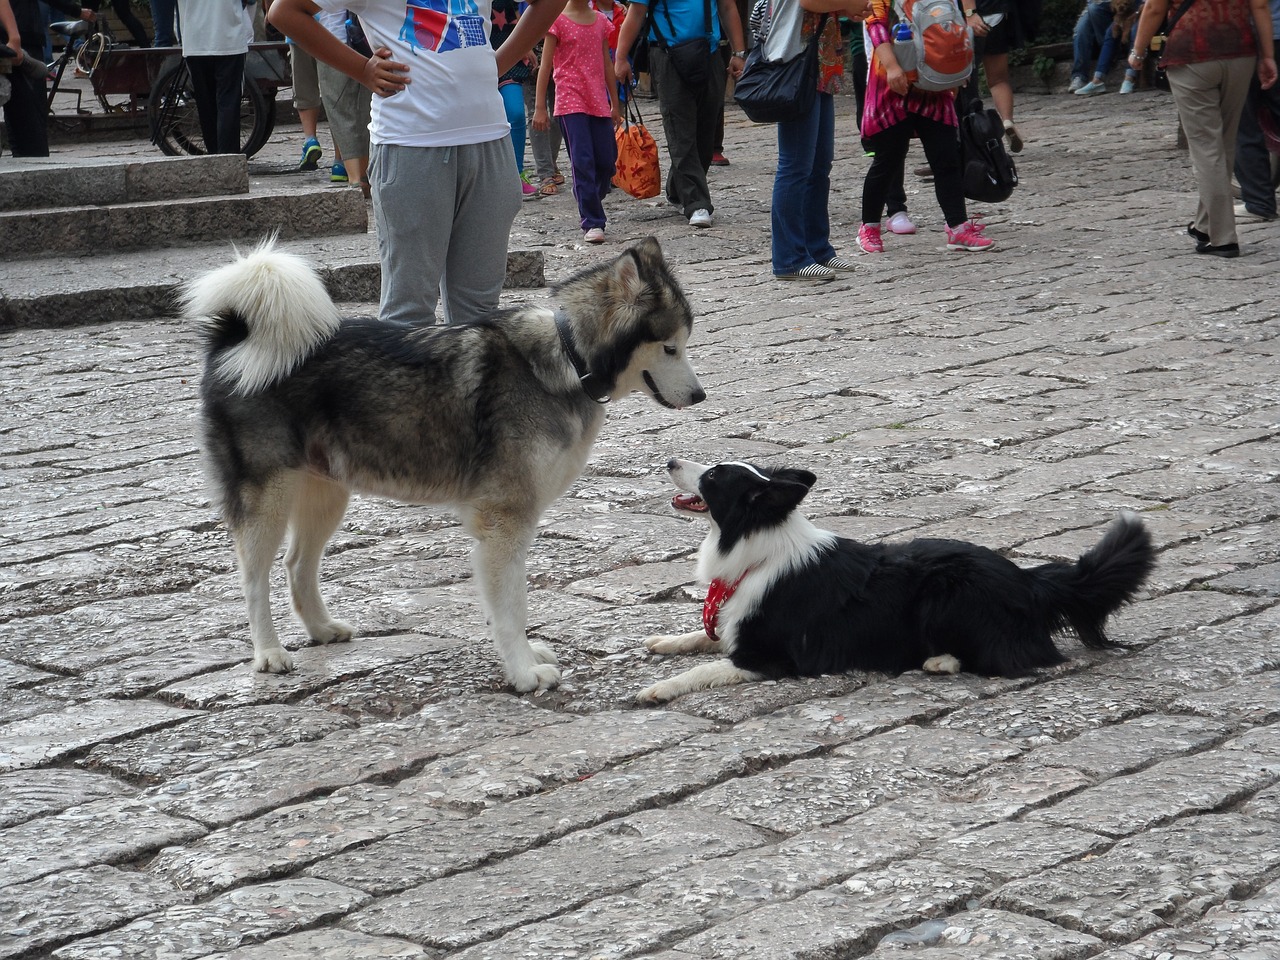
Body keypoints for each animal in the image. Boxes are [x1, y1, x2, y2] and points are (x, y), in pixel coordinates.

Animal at [186, 239, 711, 691]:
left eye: (684, 344)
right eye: (670, 347)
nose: (701, 395)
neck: (567, 356)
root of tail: (235, 340)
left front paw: (524, 658)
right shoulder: (505, 522)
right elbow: (511, 609)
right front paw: (523, 673)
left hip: (327, 492)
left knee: (297, 564)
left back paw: (321, 628)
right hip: (269, 497)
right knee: (254, 579)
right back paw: (269, 653)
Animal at [634, 463, 1157, 701]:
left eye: (714, 477)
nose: (671, 462)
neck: (757, 547)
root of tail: (1028, 582)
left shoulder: (770, 657)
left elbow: (707, 667)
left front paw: (659, 688)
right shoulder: (732, 625)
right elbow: (704, 636)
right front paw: (664, 641)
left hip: (945, 592)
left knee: (998, 658)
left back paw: (939, 661)